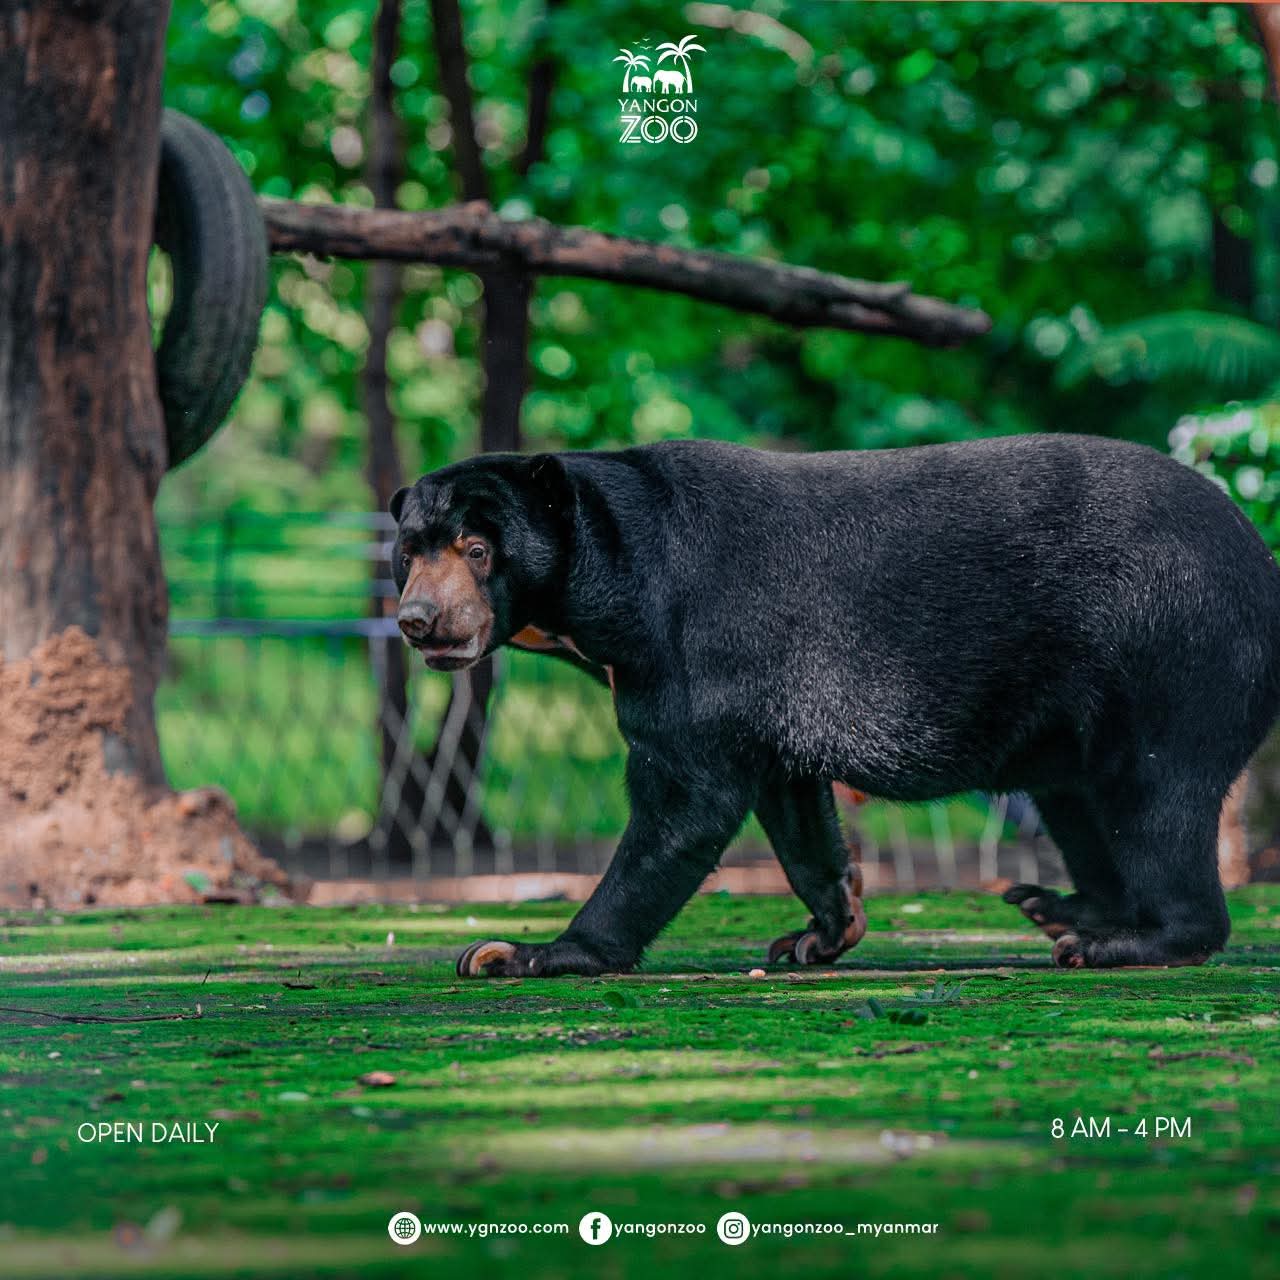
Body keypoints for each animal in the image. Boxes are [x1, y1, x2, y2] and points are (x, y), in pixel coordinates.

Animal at [388, 434, 1280, 977]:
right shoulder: (759, 700)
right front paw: (824, 930)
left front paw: (525, 951)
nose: (418, 621)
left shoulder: (687, 649)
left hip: (1170, 648)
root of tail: (1260, 559)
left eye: (478, 549)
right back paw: (1061, 909)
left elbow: (684, 801)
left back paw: (1125, 942)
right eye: (408, 554)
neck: (606, 596)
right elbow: (790, 802)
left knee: (1154, 795)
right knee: (1080, 801)